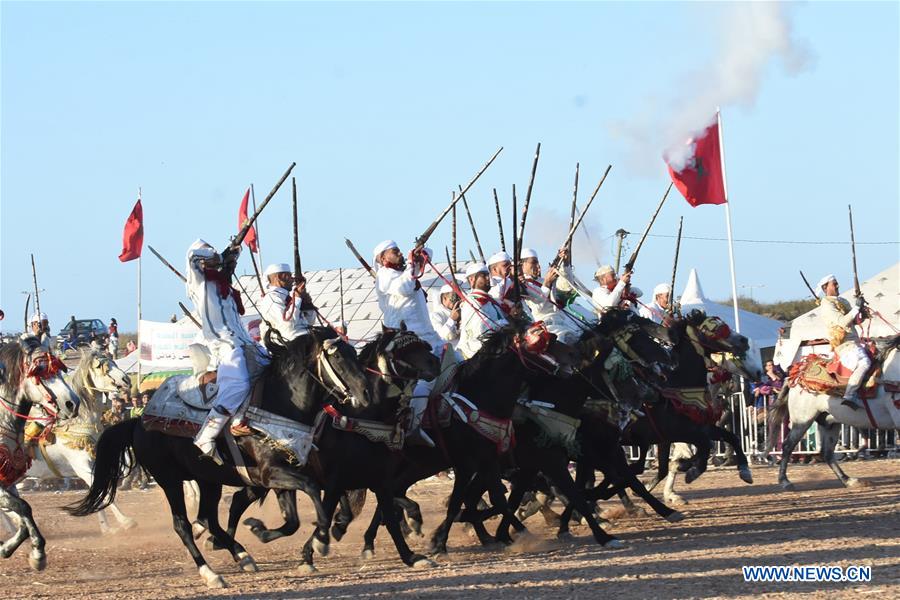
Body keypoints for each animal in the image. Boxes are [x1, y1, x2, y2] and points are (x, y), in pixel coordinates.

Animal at [23, 350, 136, 532]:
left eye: (114, 362)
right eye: (101, 367)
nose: (126, 380)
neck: (77, 423)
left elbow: (96, 493)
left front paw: (106, 528)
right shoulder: (82, 468)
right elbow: (103, 494)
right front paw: (125, 521)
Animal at [768, 338, 900, 492]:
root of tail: (794, 377)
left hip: (829, 423)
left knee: (827, 453)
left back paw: (848, 480)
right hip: (803, 420)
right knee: (788, 446)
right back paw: (785, 481)